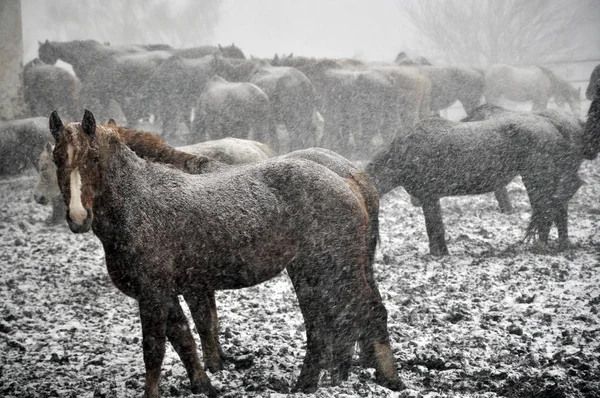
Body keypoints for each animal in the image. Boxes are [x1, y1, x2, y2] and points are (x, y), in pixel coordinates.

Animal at [49, 110, 400, 398]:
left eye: (94, 158)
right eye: (56, 158)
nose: (78, 217)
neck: (140, 202)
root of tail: (348, 180)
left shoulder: (154, 294)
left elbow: (156, 349)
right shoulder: (168, 292)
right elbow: (185, 338)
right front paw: (205, 384)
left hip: (337, 268)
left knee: (367, 312)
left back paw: (388, 380)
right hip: (312, 272)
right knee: (326, 321)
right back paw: (310, 383)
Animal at [366, 105, 584, 255]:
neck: (404, 153)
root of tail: (553, 124)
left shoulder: (429, 197)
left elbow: (434, 227)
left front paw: (438, 254)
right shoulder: (431, 198)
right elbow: (435, 226)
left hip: (536, 178)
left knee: (546, 208)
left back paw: (540, 246)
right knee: (558, 208)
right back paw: (562, 245)